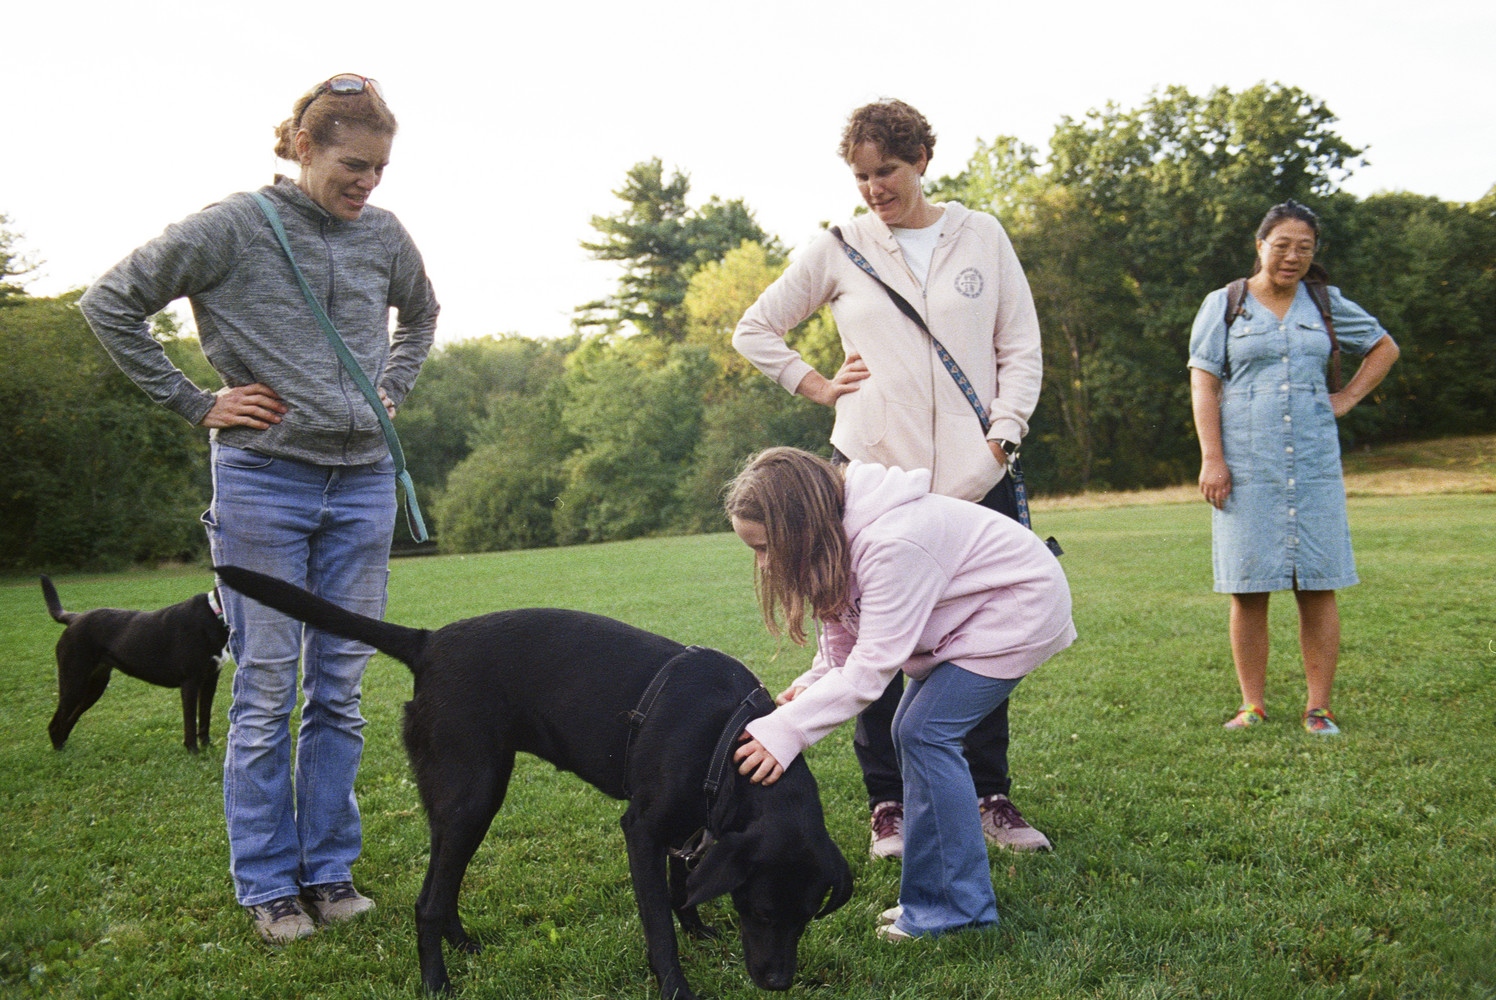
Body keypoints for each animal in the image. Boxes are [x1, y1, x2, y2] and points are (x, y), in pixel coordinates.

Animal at [41, 574, 229, 752]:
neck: (215, 614)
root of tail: (74, 618)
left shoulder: (210, 680)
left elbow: (205, 717)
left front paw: (207, 747)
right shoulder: (190, 682)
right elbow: (190, 723)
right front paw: (194, 752)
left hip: (94, 686)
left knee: (69, 719)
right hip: (73, 683)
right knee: (55, 723)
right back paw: (60, 752)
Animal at [214, 564, 852, 1000]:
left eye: (806, 917)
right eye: (762, 913)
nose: (778, 982)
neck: (729, 734)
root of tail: (427, 641)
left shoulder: (696, 823)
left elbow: (683, 887)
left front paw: (697, 928)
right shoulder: (642, 829)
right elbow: (657, 923)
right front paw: (675, 985)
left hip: (463, 799)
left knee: (443, 886)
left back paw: (464, 944)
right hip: (474, 795)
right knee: (426, 902)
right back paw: (437, 982)